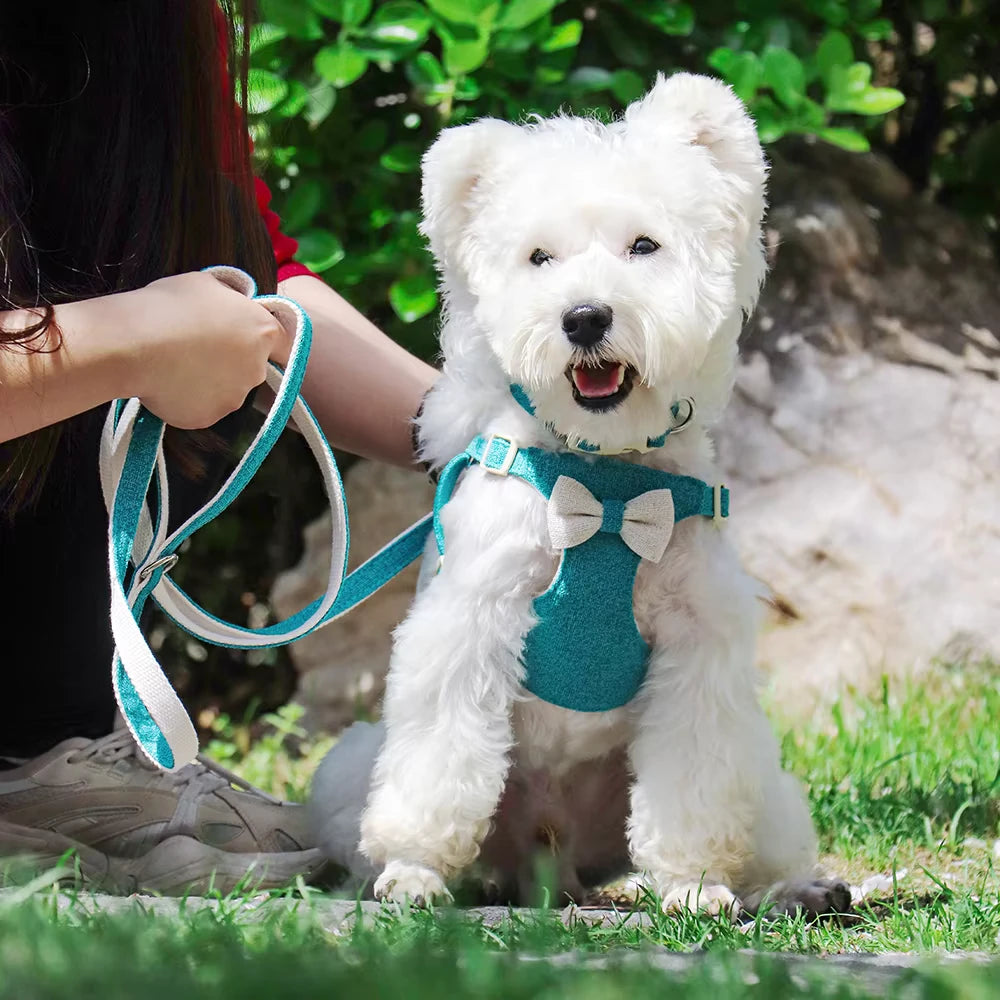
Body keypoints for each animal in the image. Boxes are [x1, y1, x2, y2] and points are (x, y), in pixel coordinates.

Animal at [310, 72, 844, 920]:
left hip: (761, 784)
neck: (607, 484)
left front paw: (694, 884)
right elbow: (439, 760)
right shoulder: (471, 620)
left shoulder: (698, 647)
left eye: (644, 246)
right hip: (349, 766)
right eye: (539, 257)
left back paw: (802, 888)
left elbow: (691, 785)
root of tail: (550, 859)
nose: (585, 316)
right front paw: (414, 870)